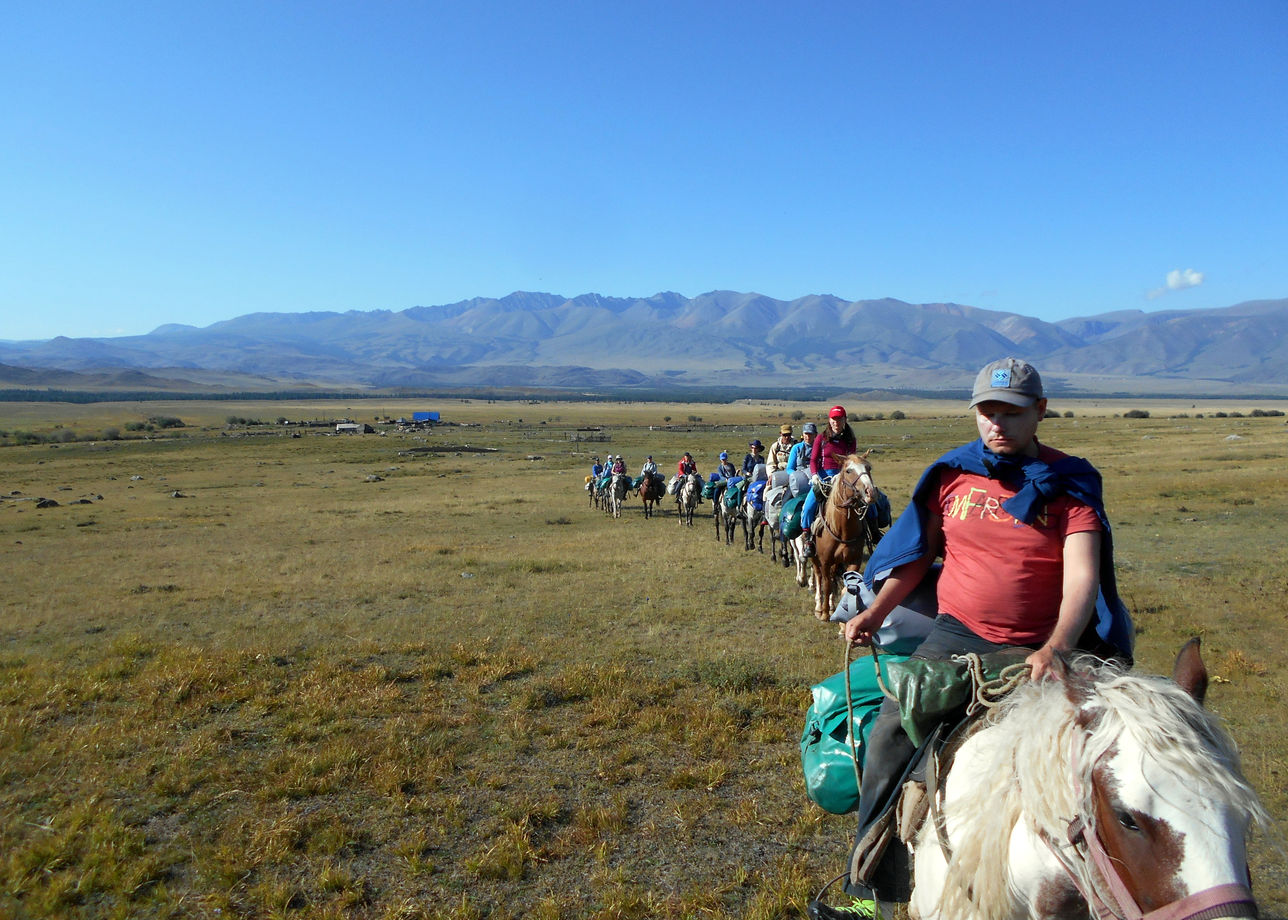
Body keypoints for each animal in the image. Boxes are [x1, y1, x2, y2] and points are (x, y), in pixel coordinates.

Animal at [808, 456, 880, 621]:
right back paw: (819, 607)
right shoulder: (825, 561)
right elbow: (827, 585)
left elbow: (848, 586)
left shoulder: (854, 561)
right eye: (848, 470)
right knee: (819, 576)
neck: (842, 530)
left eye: (868, 468)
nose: (871, 492)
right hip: (814, 557)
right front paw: (824, 614)